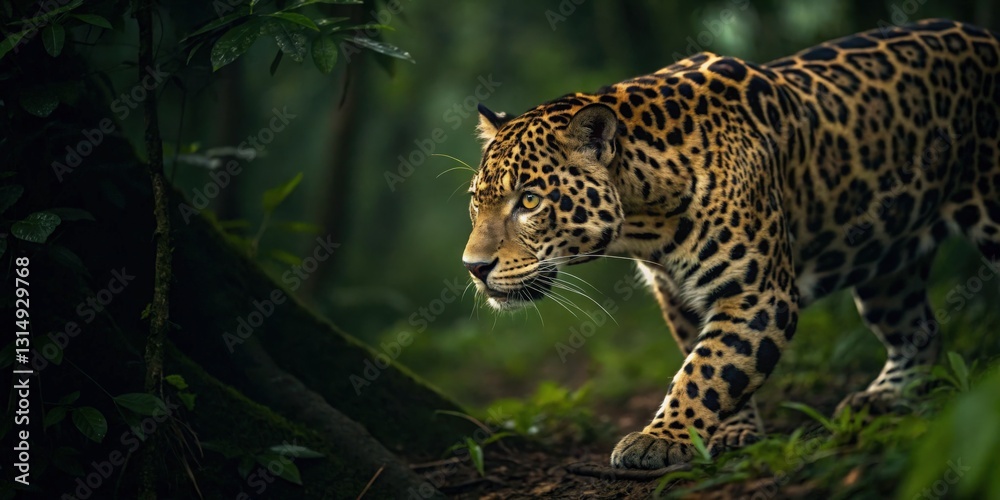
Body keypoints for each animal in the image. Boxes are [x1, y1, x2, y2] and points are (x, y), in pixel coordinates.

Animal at [460, 19, 1000, 469]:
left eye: (529, 200)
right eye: (475, 201)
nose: (473, 267)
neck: (644, 220)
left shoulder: (757, 292)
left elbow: (708, 368)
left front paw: (660, 439)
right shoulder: (679, 295)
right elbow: (715, 361)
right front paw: (730, 432)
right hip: (887, 261)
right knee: (920, 330)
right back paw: (881, 400)